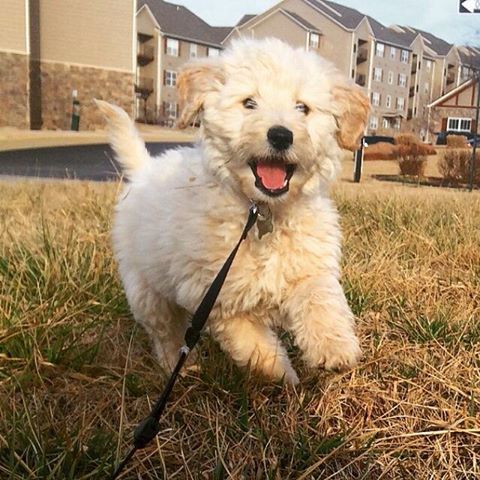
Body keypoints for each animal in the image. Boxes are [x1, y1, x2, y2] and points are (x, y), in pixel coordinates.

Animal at [96, 37, 368, 384]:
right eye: (249, 103)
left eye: (302, 108)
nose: (281, 134)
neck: (262, 213)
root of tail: (145, 169)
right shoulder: (219, 302)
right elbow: (252, 346)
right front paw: (282, 375)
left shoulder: (309, 267)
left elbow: (320, 297)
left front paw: (334, 347)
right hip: (146, 289)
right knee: (165, 332)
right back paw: (178, 365)